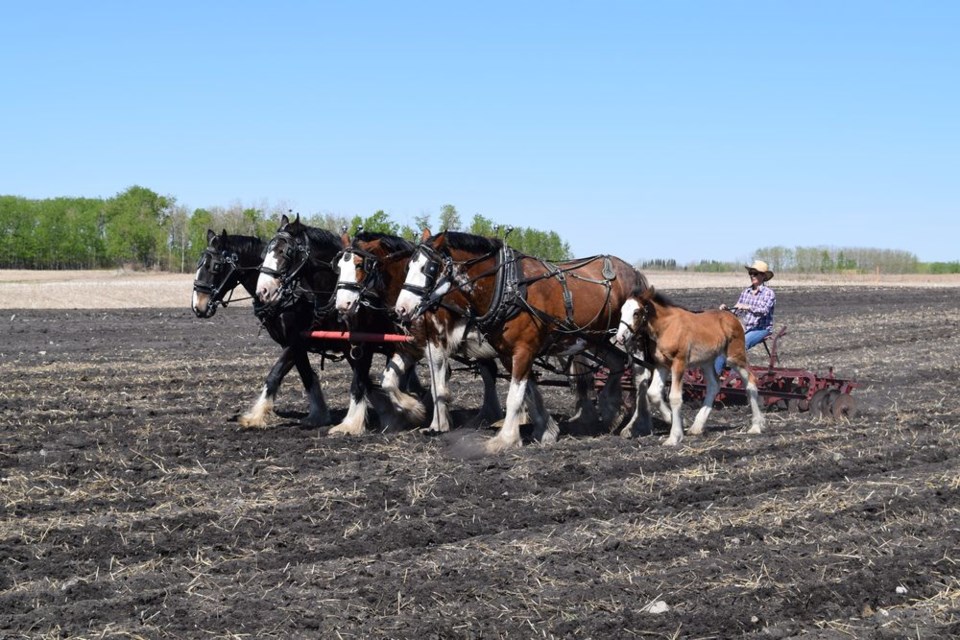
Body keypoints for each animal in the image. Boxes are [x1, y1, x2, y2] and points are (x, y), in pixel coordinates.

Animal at [189, 228, 332, 428]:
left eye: (215, 266)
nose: (197, 306)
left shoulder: (296, 340)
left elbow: (275, 375)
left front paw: (254, 417)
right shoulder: (290, 344)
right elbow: (306, 375)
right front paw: (319, 415)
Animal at [336, 231, 506, 436]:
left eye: (360, 265)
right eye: (338, 267)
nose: (342, 305)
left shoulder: (435, 347)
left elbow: (437, 388)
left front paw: (437, 423)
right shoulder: (409, 348)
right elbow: (388, 381)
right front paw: (414, 409)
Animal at [394, 230, 648, 456]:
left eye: (429, 268)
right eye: (407, 267)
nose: (401, 309)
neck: (507, 286)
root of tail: (635, 272)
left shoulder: (524, 350)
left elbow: (515, 395)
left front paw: (504, 439)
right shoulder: (509, 353)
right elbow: (528, 391)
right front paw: (546, 430)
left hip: (629, 336)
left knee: (641, 374)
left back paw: (634, 425)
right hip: (595, 338)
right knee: (617, 363)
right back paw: (610, 409)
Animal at [616, 284, 764, 444]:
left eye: (636, 313)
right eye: (621, 311)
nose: (620, 337)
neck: (666, 327)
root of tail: (732, 316)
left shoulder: (679, 363)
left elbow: (675, 397)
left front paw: (674, 437)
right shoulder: (661, 364)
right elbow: (653, 393)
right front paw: (676, 422)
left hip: (734, 357)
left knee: (750, 380)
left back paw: (756, 426)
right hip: (707, 361)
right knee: (714, 385)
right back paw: (696, 427)